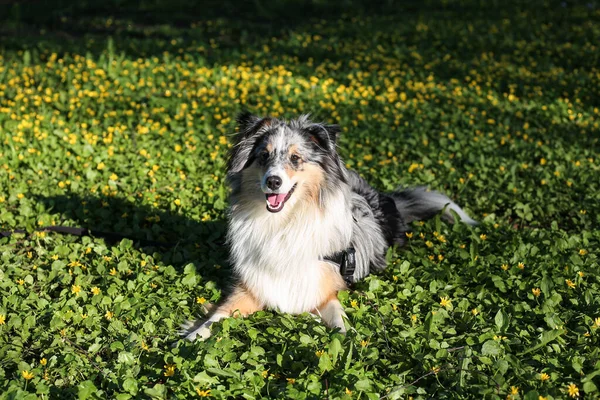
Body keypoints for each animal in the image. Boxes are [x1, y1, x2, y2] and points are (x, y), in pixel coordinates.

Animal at [180, 112, 476, 340]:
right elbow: (218, 315)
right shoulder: (250, 286)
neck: (284, 223)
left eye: (296, 158)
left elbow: (338, 315)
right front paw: (192, 336)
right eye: (263, 156)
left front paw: (346, 338)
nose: (273, 181)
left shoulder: (326, 285)